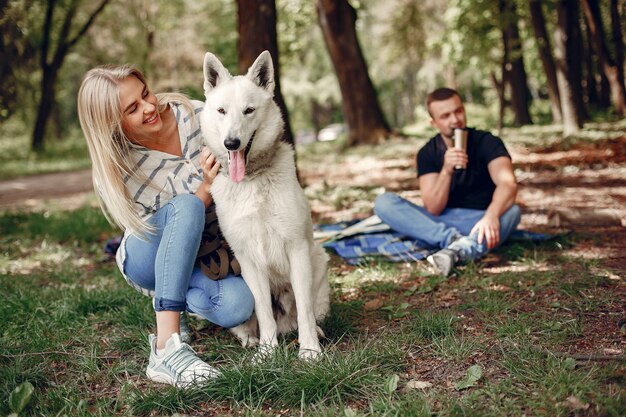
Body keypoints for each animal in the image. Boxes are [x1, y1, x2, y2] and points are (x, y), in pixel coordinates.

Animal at [201, 51, 332, 358]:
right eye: (221, 111)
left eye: (249, 110)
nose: (231, 142)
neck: (251, 179)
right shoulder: (248, 260)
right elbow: (263, 312)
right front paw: (266, 353)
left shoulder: (297, 249)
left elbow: (304, 309)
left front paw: (310, 351)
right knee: (251, 324)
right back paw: (252, 340)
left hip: (318, 262)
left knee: (308, 314)